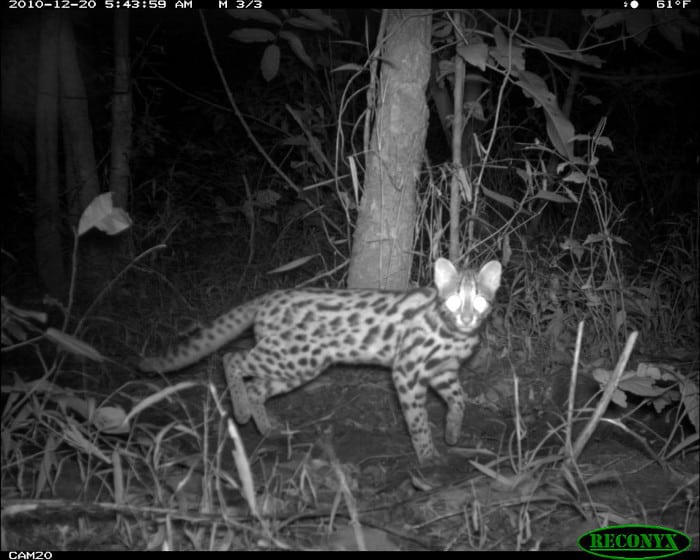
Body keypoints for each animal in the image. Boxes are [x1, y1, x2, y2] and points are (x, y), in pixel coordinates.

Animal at [142, 258, 500, 464]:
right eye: (453, 299)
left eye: (480, 299)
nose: (468, 318)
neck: (455, 332)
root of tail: (268, 297)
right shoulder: (407, 370)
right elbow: (417, 419)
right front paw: (427, 456)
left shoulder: (443, 371)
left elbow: (460, 399)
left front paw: (452, 433)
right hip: (294, 357)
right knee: (233, 357)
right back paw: (242, 413)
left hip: (297, 366)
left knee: (256, 386)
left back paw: (267, 428)